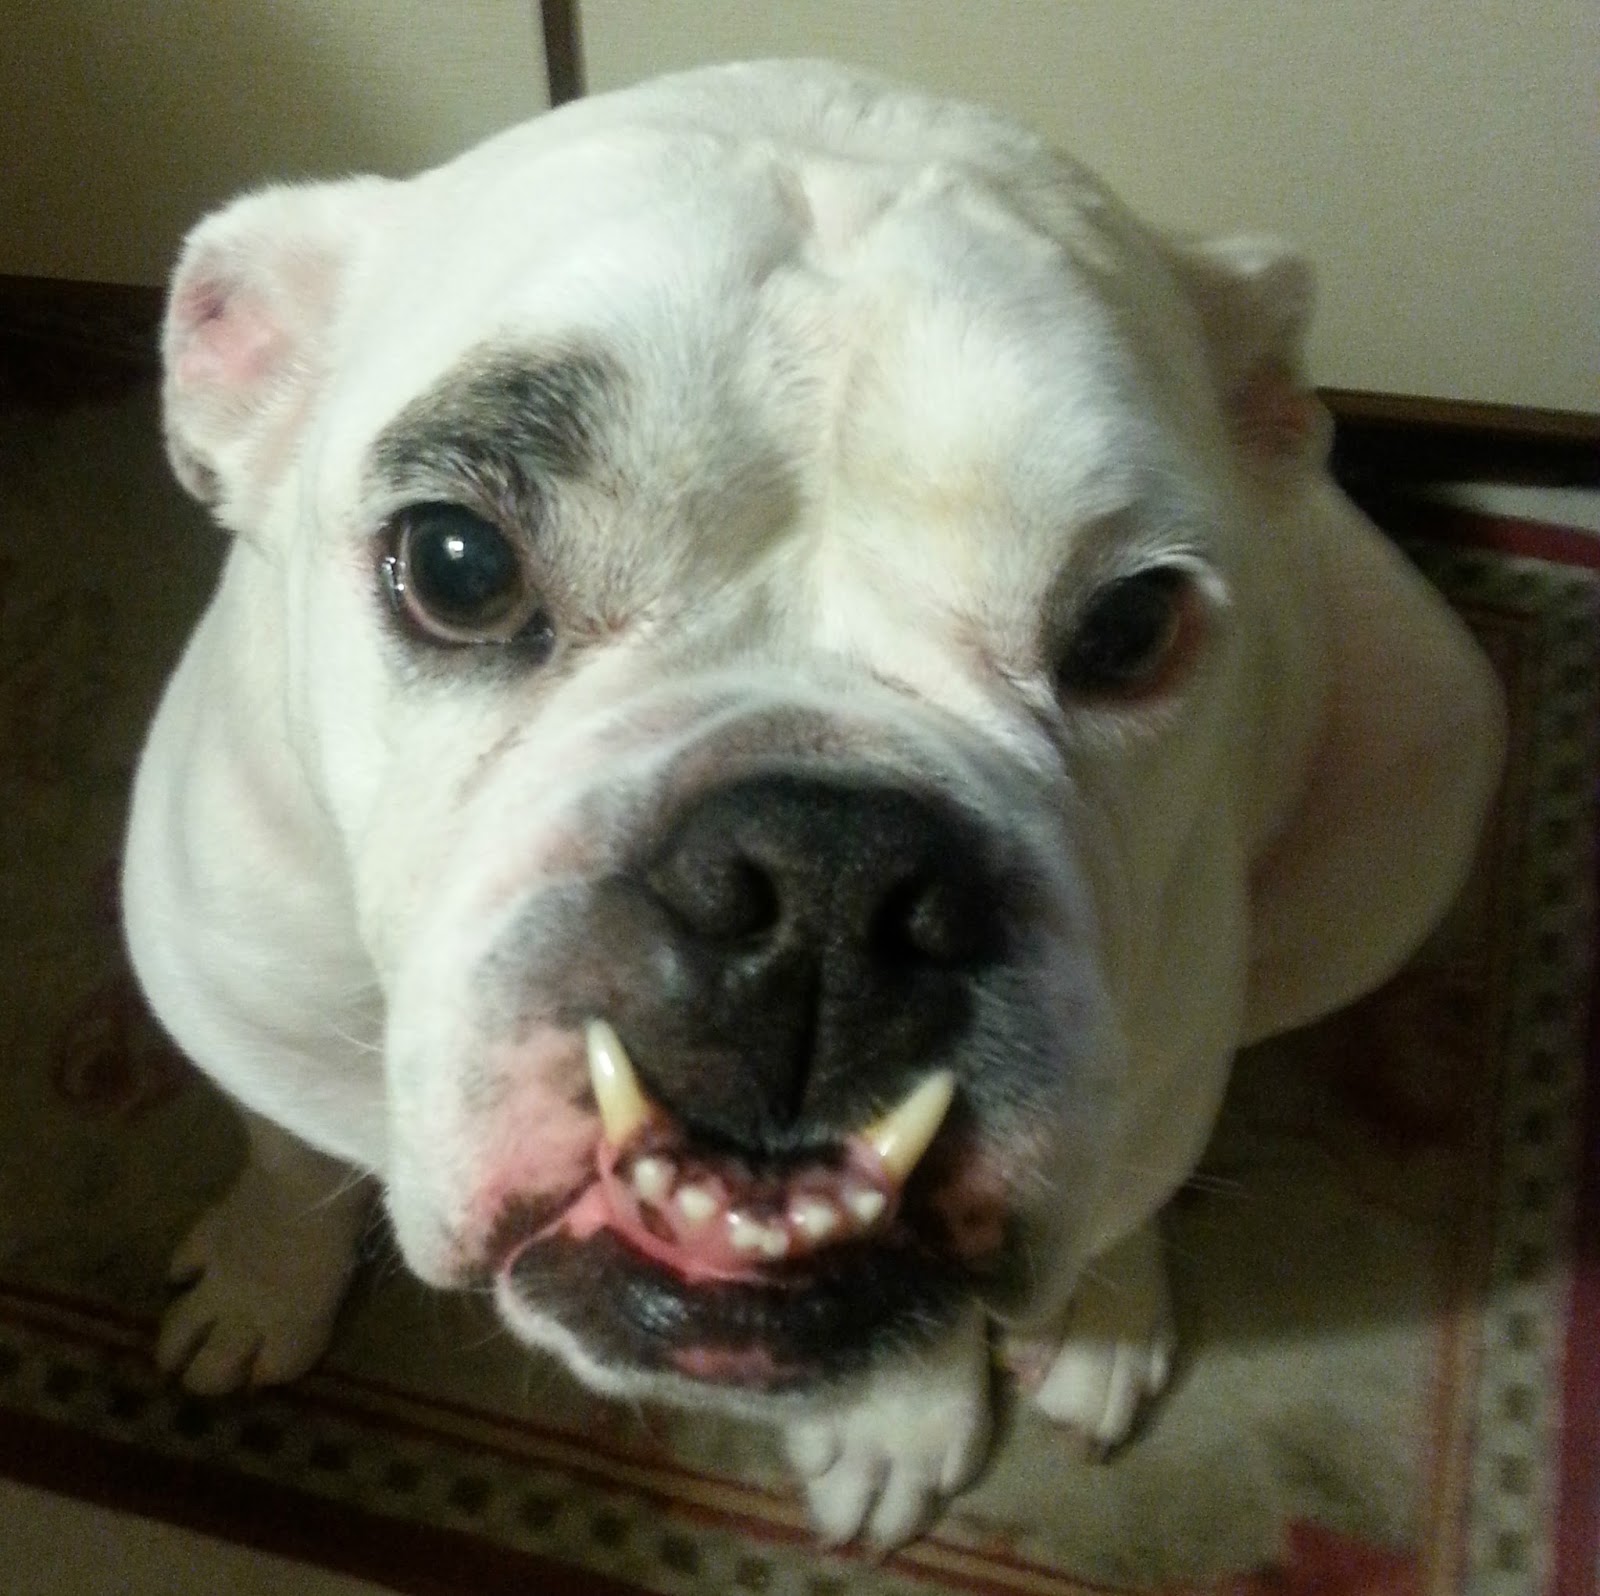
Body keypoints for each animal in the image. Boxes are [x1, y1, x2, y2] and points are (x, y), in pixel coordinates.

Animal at [122, 59, 1505, 1548]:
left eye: (1132, 629)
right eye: (456, 563)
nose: (825, 873)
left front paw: (902, 1418)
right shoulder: (238, 1007)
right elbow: (284, 1159)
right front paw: (262, 1281)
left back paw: (1108, 1321)